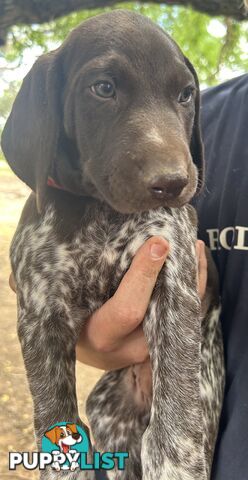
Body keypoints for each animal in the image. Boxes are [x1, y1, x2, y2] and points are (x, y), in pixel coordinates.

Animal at [1, 8, 225, 480]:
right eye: (103, 88)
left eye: (186, 95)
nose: (173, 183)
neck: (98, 211)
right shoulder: (40, 313)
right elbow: (54, 416)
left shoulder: (174, 281)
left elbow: (175, 422)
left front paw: (175, 463)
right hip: (107, 411)